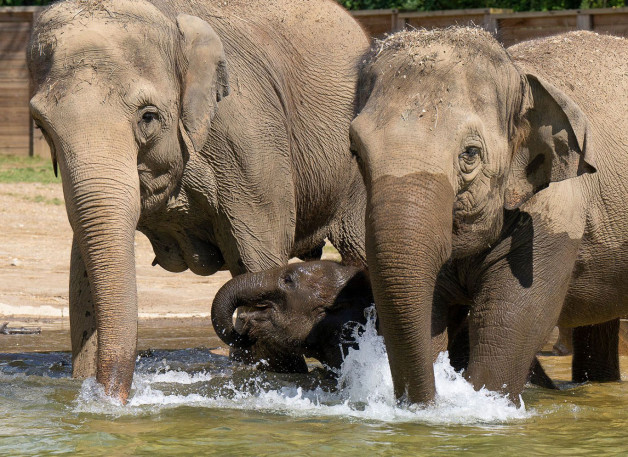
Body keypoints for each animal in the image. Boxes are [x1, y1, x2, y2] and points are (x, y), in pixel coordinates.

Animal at [350, 29, 624, 402]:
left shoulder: (556, 206)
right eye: (355, 152)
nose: (427, 403)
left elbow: (513, 319)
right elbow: (433, 311)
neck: (519, 74)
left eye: (470, 153)